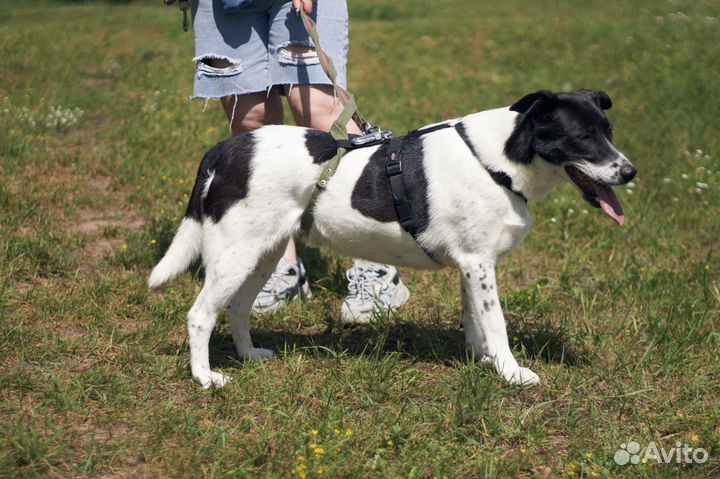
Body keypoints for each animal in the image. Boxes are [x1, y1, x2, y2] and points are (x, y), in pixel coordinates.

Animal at [148, 91, 636, 390]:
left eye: (609, 132)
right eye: (582, 137)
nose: (629, 172)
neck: (497, 158)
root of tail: (224, 149)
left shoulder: (470, 265)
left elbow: (475, 323)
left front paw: (483, 363)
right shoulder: (479, 264)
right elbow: (496, 323)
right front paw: (511, 373)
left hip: (261, 253)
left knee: (235, 307)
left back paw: (249, 356)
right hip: (236, 253)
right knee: (199, 315)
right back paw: (205, 379)